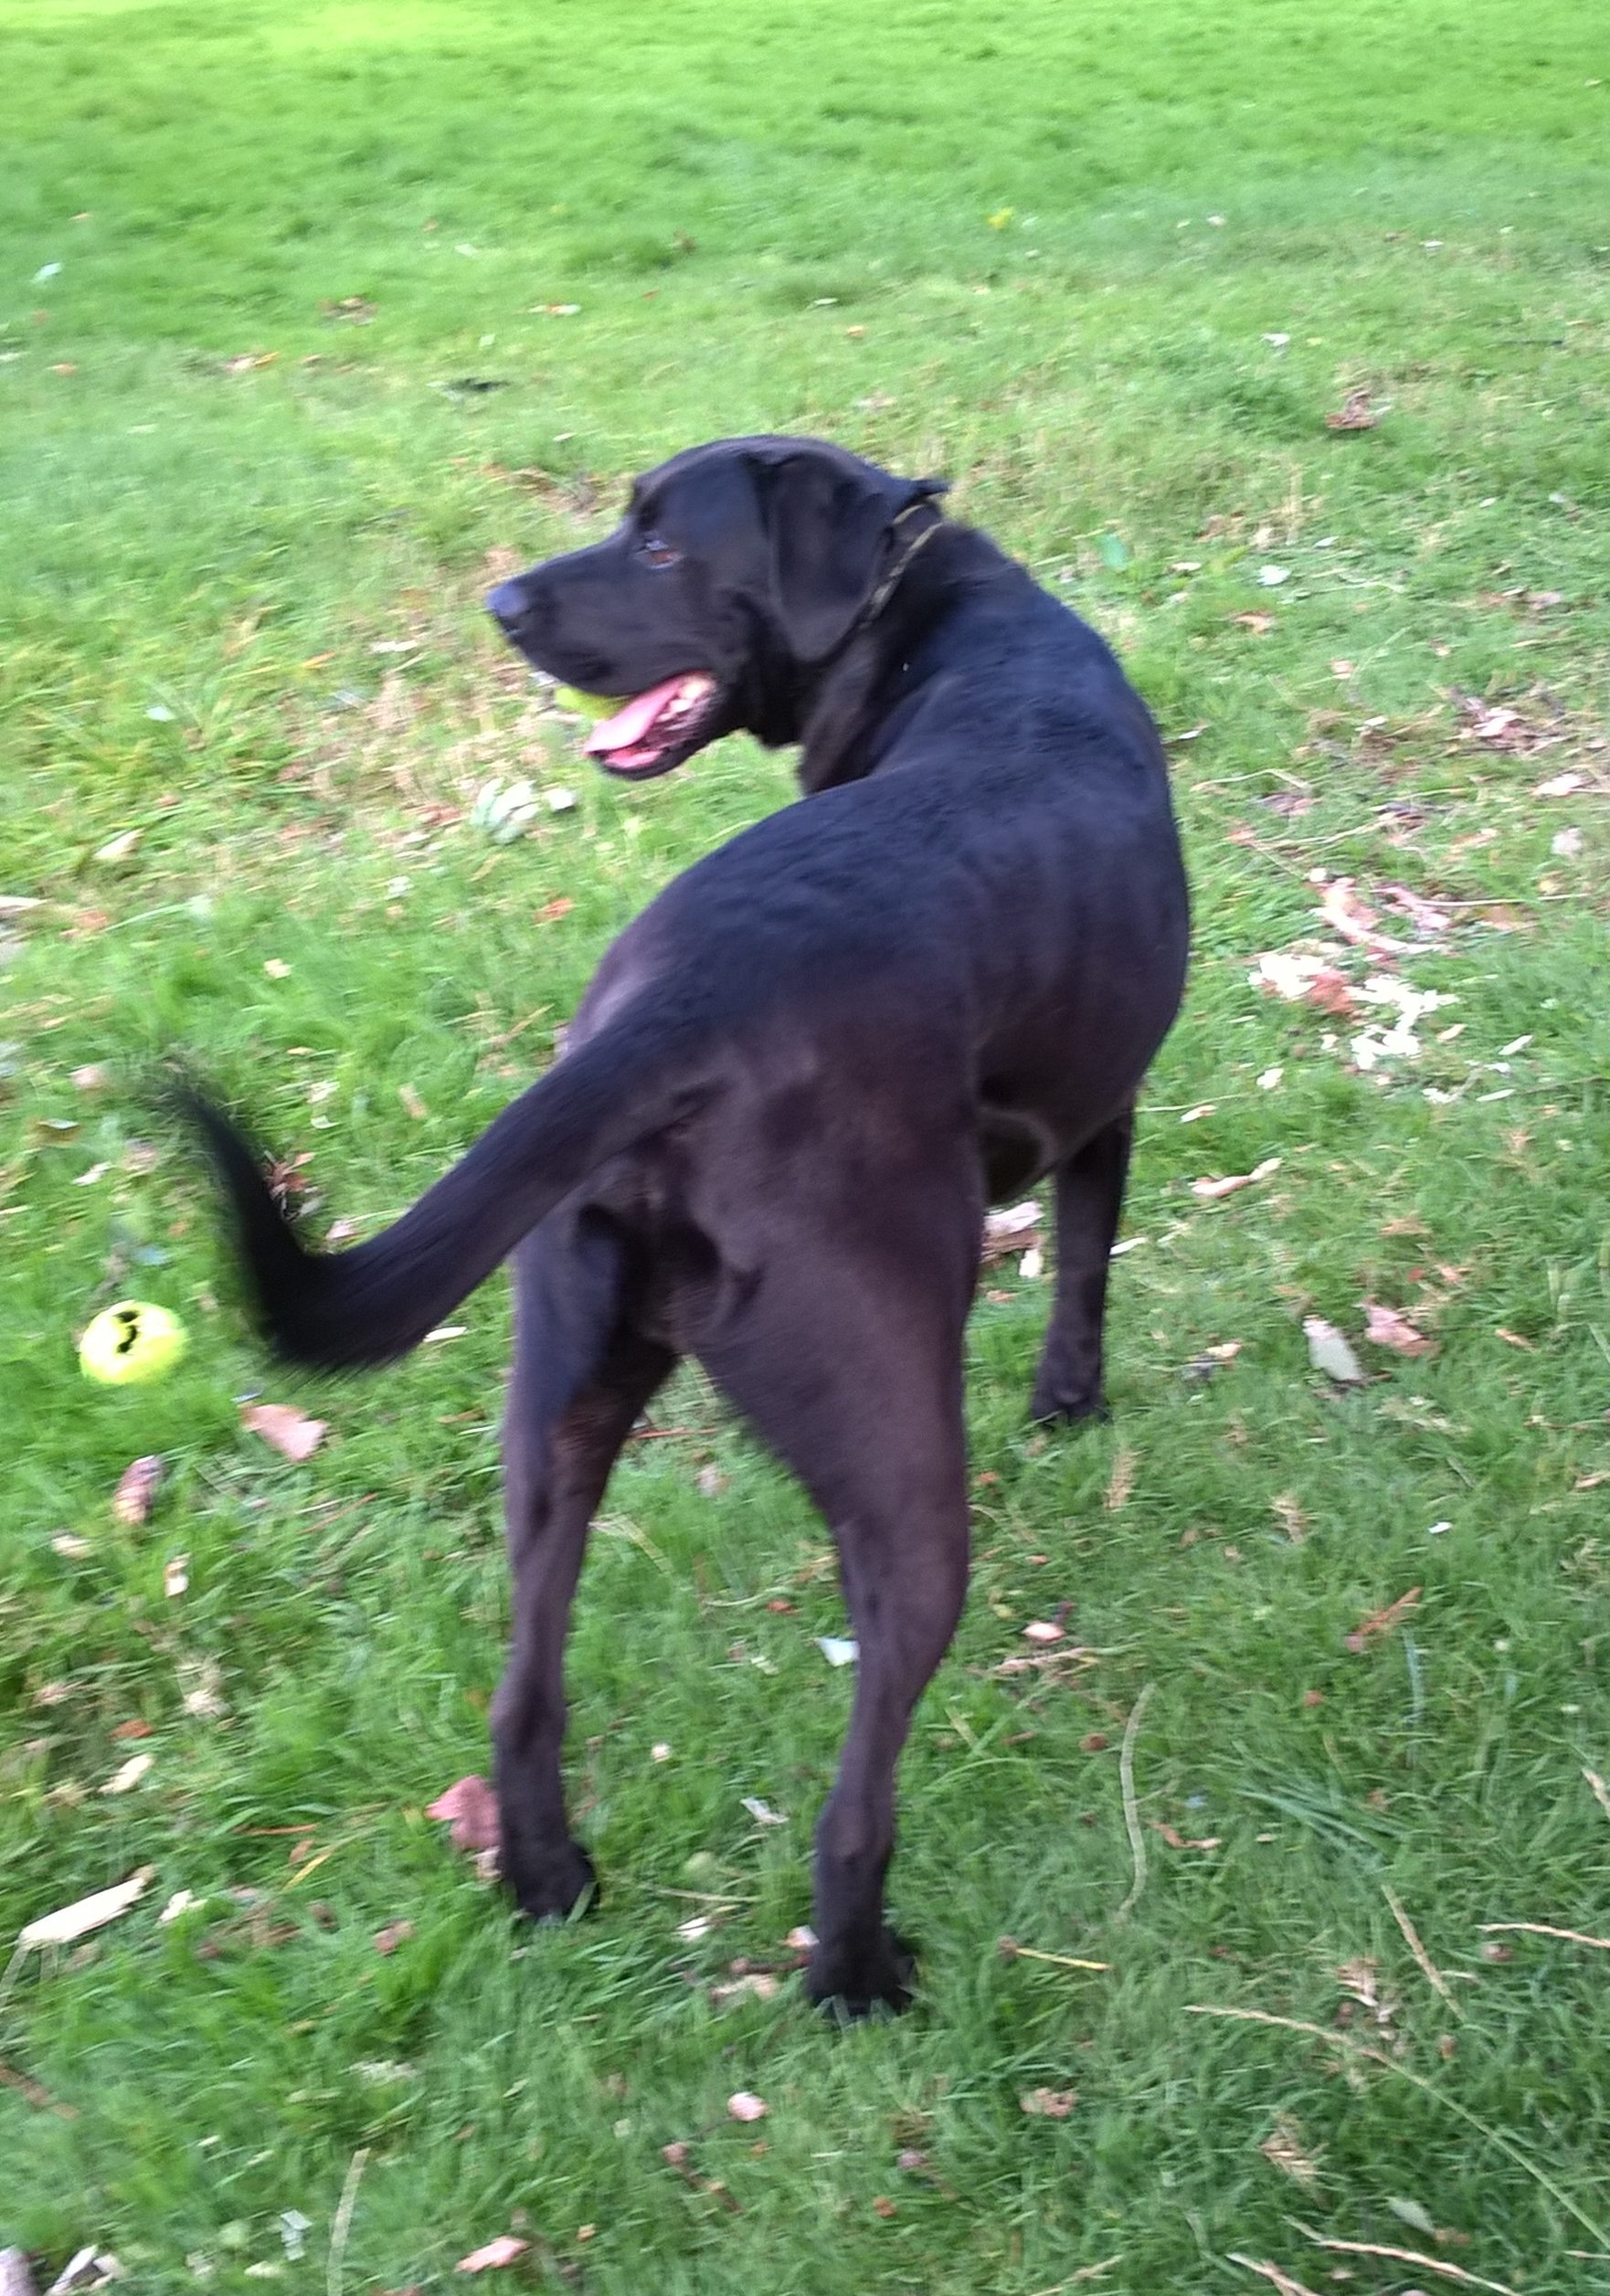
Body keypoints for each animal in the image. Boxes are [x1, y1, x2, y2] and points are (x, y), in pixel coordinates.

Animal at [192, 436, 1189, 2014]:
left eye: (659, 544)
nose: (498, 603)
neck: (921, 621)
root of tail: (679, 1010)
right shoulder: (1104, 1113)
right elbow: (1086, 1271)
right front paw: (1071, 1408)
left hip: (558, 1404)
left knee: (522, 1693)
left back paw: (549, 1885)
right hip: (900, 1464)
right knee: (856, 1795)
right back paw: (856, 1980)